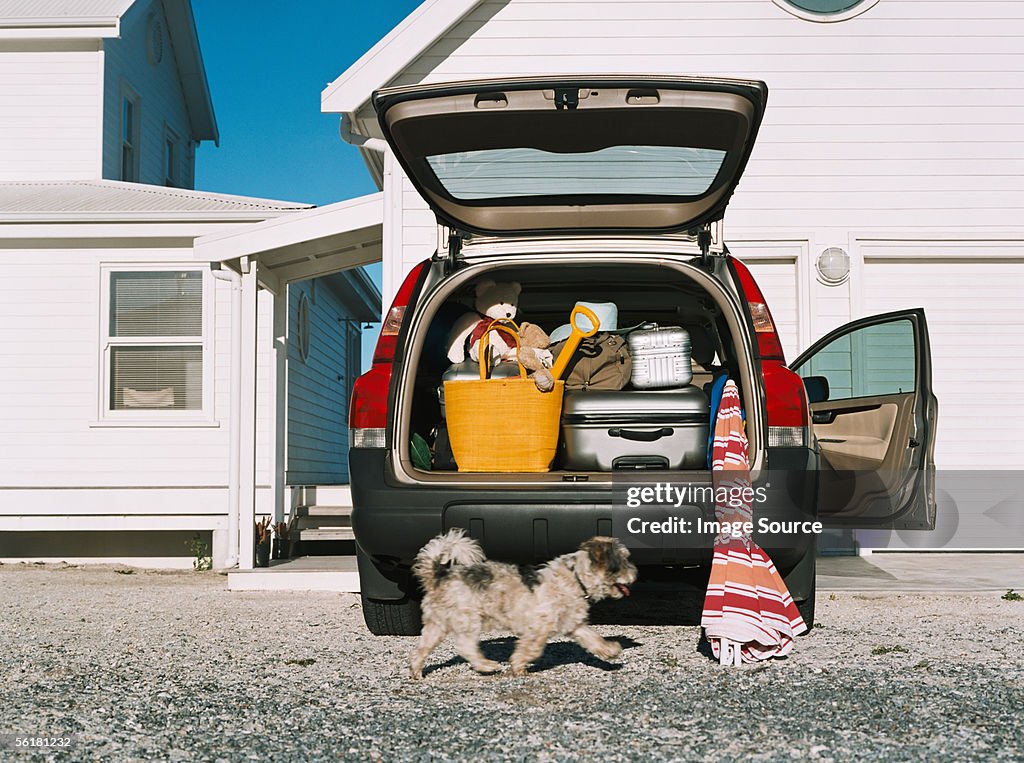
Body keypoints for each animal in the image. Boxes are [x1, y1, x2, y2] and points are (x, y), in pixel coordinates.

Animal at [409, 528, 634, 680]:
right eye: (623, 562)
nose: (636, 572)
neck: (574, 577)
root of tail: (439, 574)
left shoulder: (574, 624)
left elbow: (593, 639)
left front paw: (610, 650)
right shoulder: (538, 628)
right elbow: (531, 650)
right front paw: (518, 666)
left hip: (436, 624)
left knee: (421, 648)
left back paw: (416, 671)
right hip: (468, 619)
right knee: (465, 646)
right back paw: (487, 666)